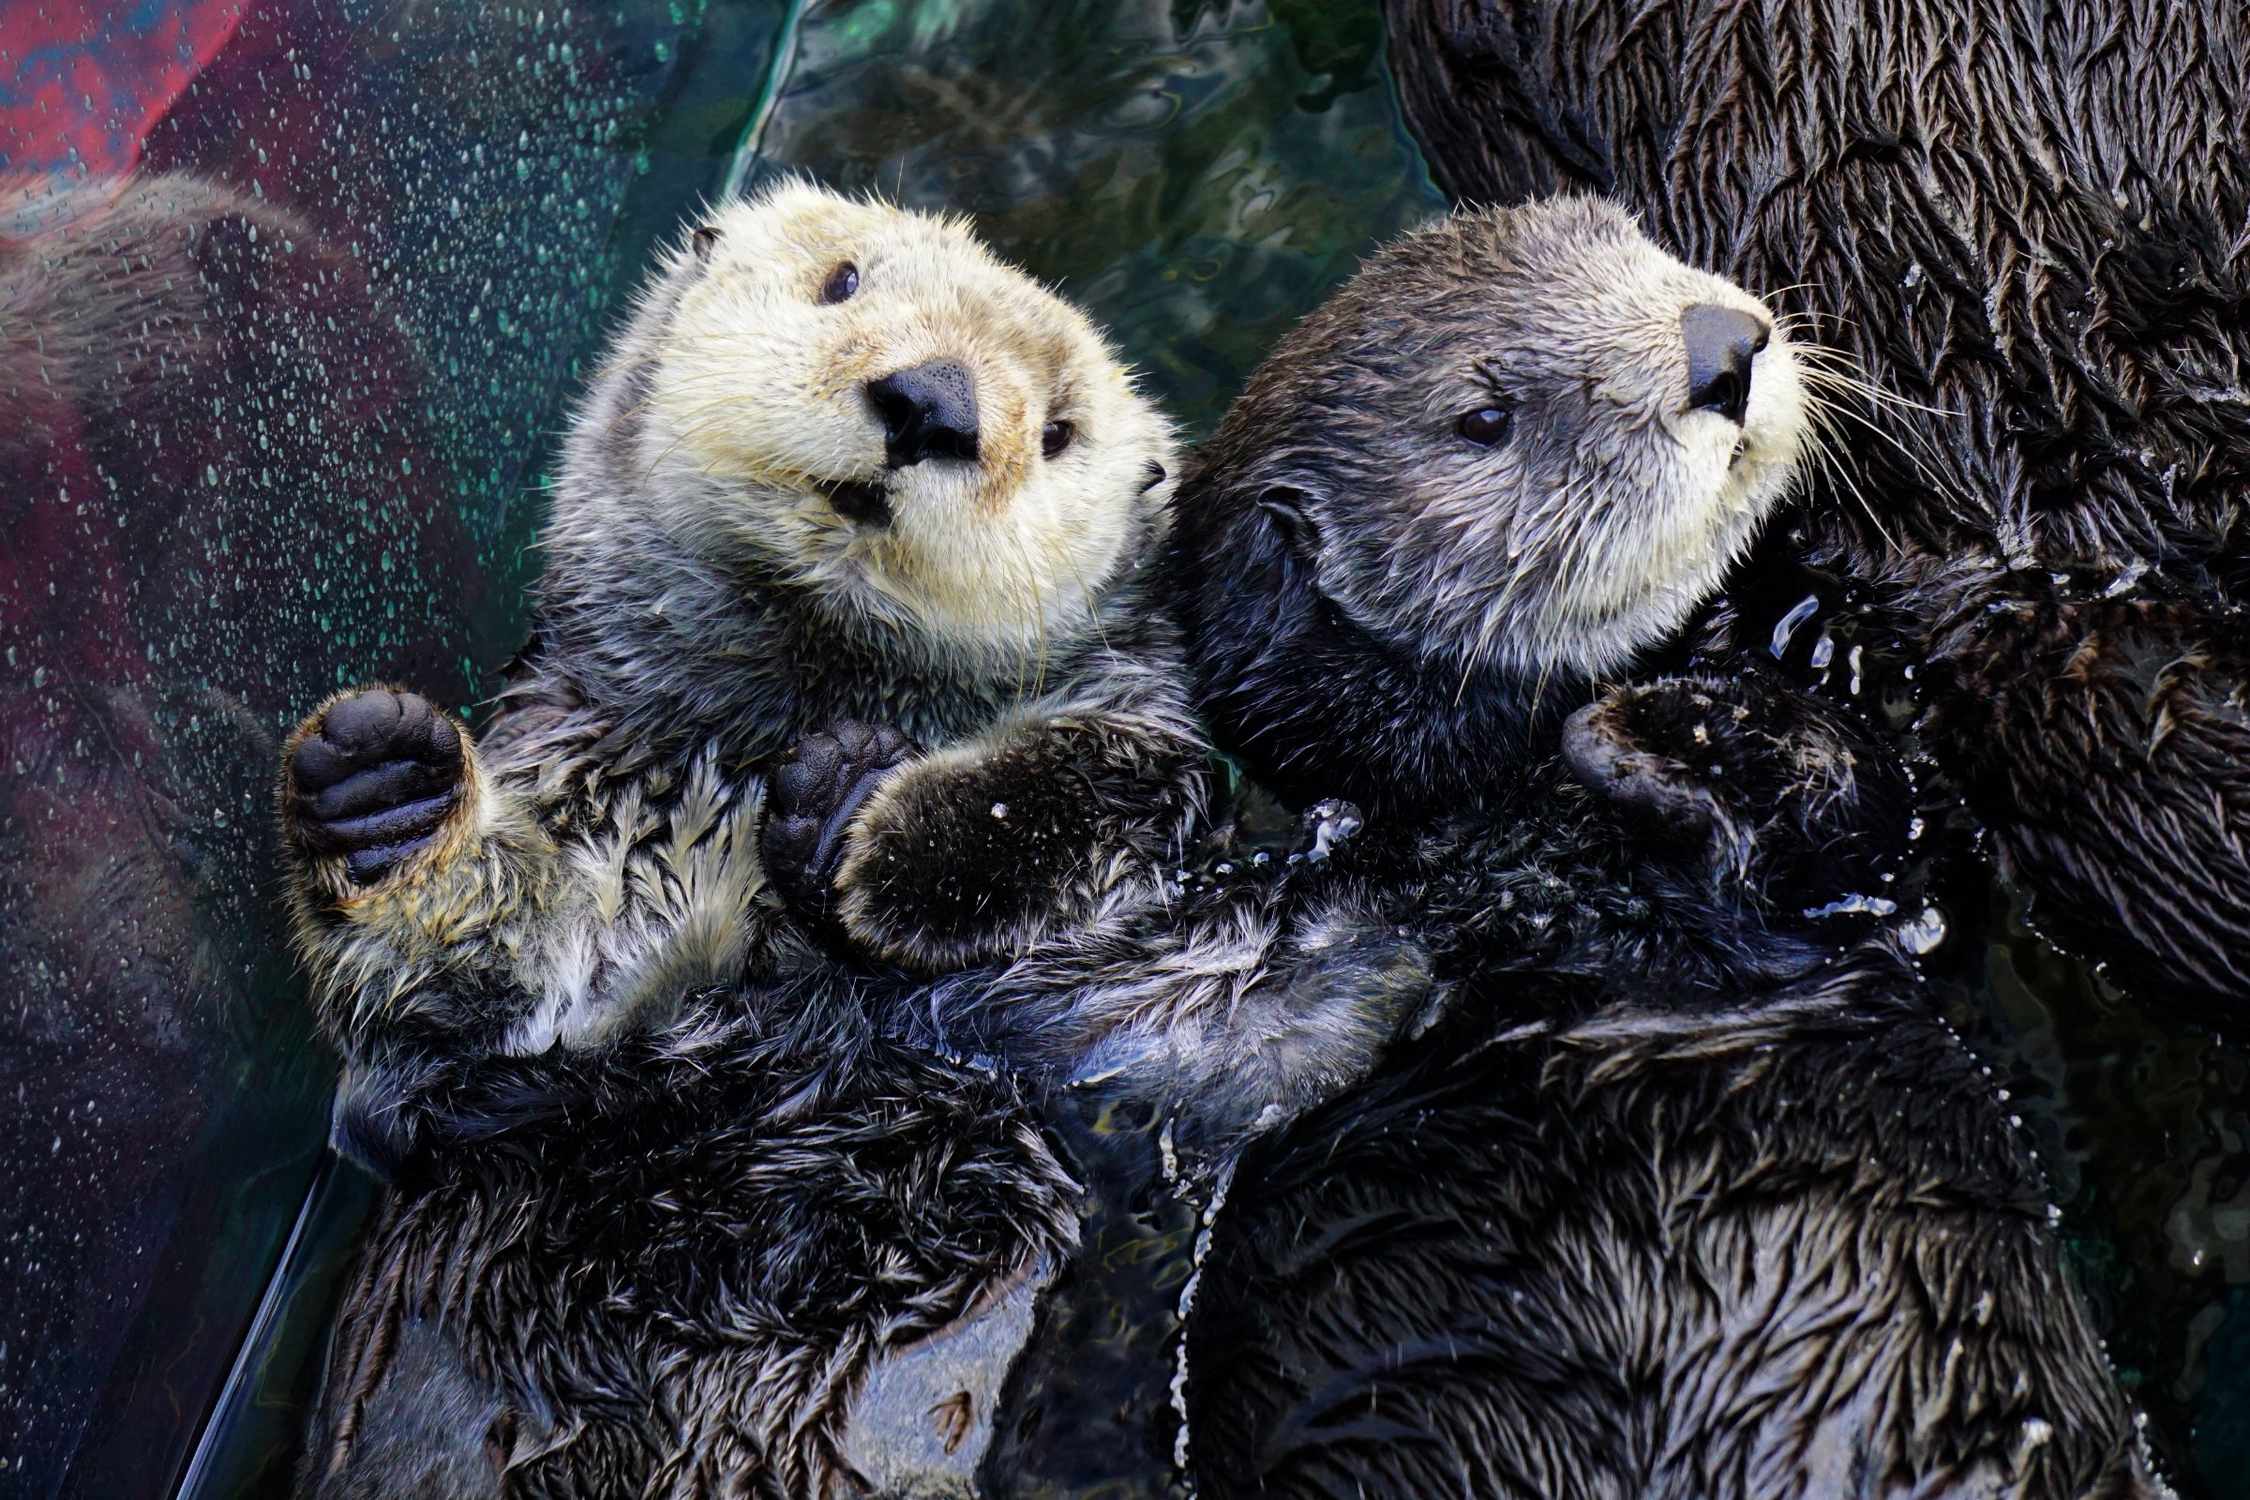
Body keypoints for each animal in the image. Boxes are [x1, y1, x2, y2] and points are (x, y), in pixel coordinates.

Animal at [276, 180, 1203, 1169]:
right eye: (843, 281)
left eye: (1060, 433)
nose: (932, 403)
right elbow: (451, 1014)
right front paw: (387, 789)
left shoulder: (1140, 756)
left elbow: (1113, 777)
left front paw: (861, 816)